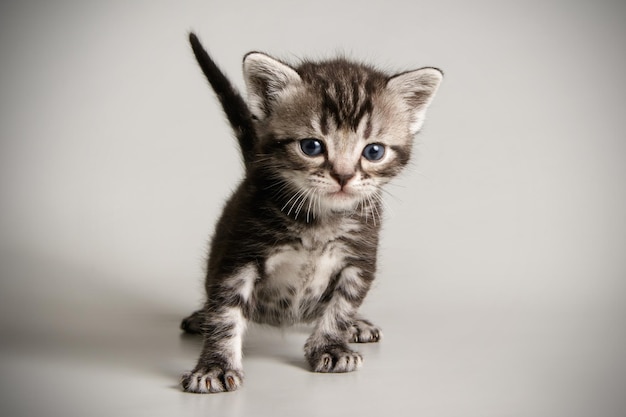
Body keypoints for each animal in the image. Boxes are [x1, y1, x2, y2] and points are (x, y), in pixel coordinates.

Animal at [178, 30, 442, 392]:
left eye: (373, 151)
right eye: (312, 146)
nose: (343, 176)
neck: (320, 221)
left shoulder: (359, 258)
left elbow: (342, 305)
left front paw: (332, 345)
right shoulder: (240, 254)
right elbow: (226, 313)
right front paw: (215, 366)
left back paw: (355, 325)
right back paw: (201, 316)